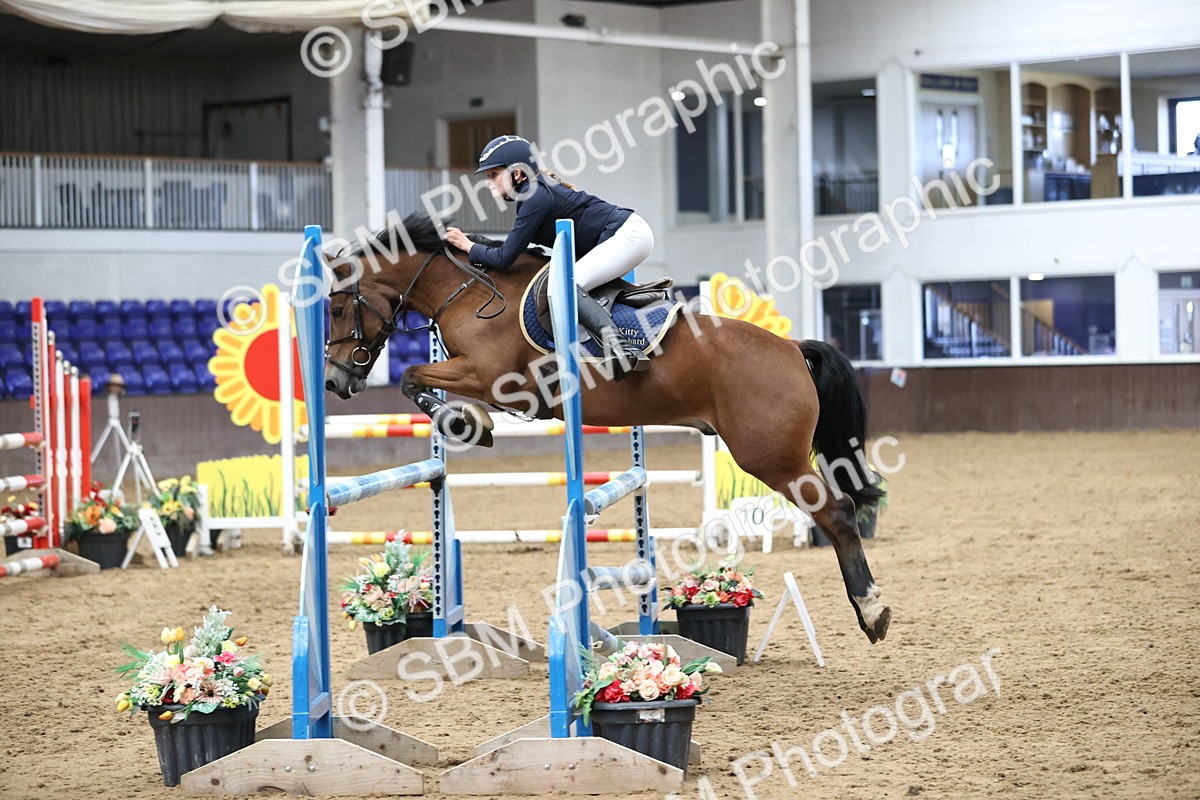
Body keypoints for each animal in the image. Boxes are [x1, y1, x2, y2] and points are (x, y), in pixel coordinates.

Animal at [320, 212, 891, 643]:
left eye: (338, 306)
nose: (333, 380)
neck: (468, 292)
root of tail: (793, 349)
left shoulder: (488, 374)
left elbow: (413, 377)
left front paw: (464, 421)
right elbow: (418, 380)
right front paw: (466, 421)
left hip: (771, 456)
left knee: (838, 514)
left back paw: (872, 611)